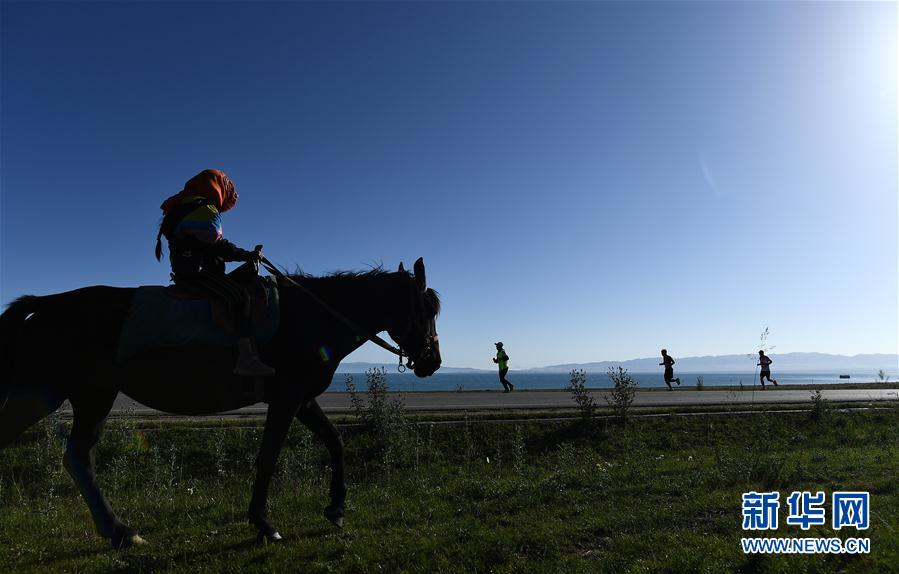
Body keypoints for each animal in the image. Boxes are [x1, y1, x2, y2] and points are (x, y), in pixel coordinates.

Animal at [0, 257, 441, 548]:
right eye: (426, 309)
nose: (432, 361)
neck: (312, 317)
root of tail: (49, 304)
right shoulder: (286, 398)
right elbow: (269, 455)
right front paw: (263, 522)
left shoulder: (300, 400)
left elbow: (335, 441)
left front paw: (335, 507)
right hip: (56, 393)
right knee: (70, 453)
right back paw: (118, 529)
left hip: (81, 394)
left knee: (78, 456)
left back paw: (119, 530)